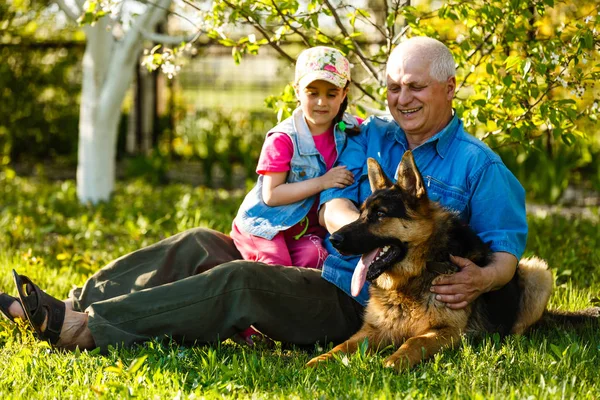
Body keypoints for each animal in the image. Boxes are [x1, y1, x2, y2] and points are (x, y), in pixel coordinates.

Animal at [308, 152, 596, 370]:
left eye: (380, 215)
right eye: (361, 213)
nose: (334, 239)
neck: (415, 276)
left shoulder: (447, 332)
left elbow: (413, 342)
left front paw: (394, 361)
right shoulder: (373, 330)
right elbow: (343, 345)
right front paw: (319, 360)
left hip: (539, 272)